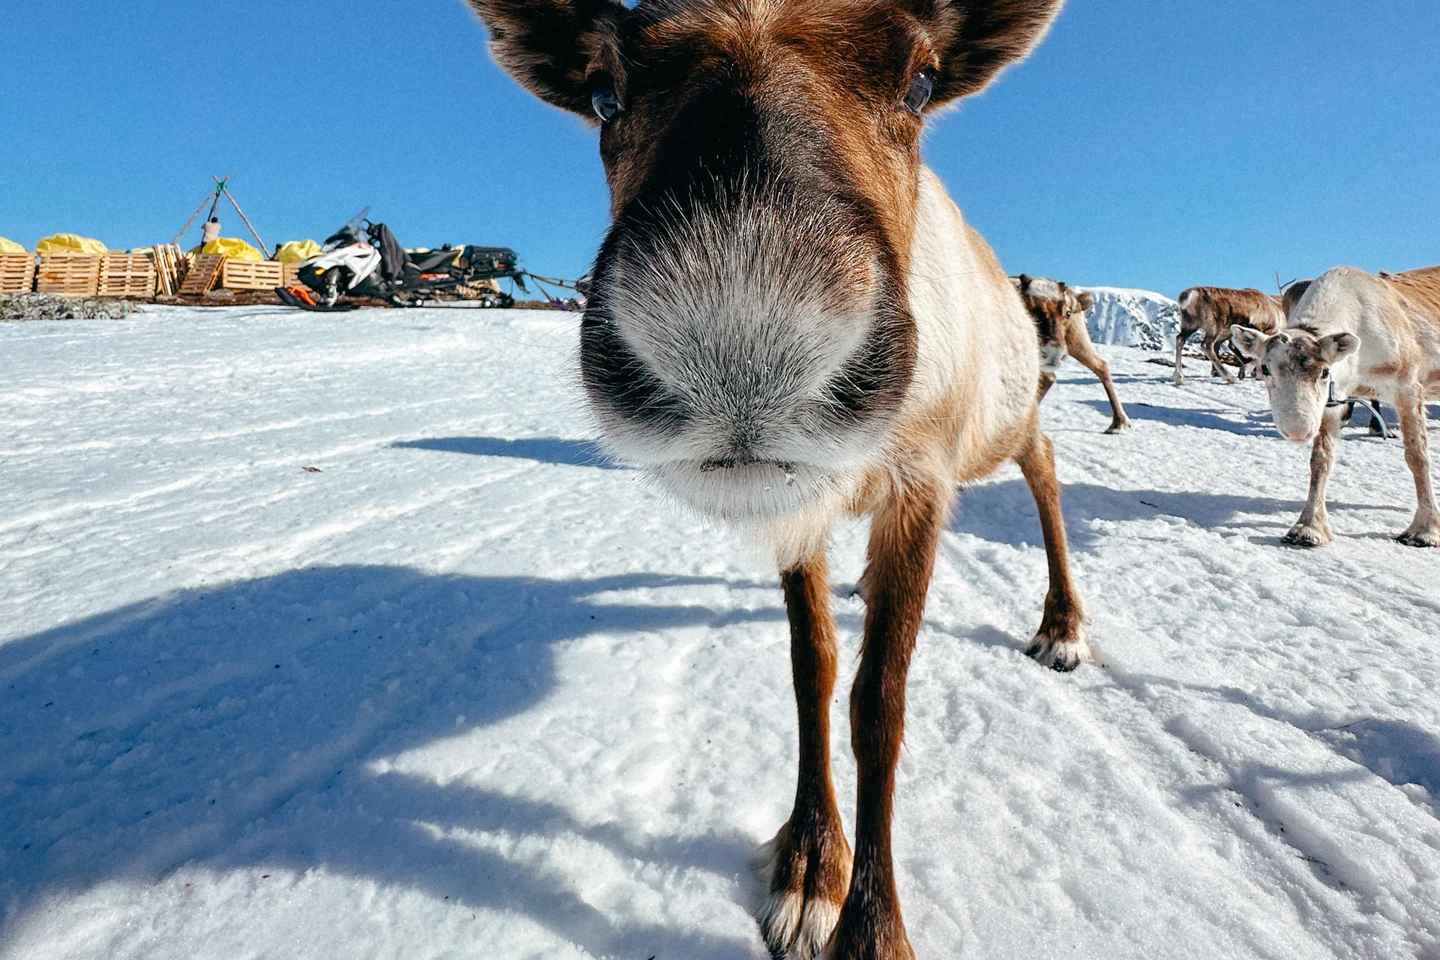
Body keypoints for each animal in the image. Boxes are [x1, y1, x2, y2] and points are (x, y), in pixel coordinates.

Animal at [467, 1, 1091, 957]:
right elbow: (815, 668)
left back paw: (1062, 625)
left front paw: (872, 927)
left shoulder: (922, 483)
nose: (742, 333)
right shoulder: (798, 508)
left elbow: (880, 705)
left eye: (921, 79)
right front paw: (807, 866)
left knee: (1046, 464)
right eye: (606, 91)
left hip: (1001, 421)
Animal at [1014, 274, 1132, 433]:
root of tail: (1075, 297)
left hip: (1075, 339)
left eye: (1067, 312)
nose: (1054, 353)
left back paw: (1119, 423)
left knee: (1100, 366)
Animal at [1232, 265, 1440, 548]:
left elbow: (1417, 456)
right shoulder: (1333, 402)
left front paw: (1425, 530)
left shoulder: (1408, 387)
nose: (1298, 430)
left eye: (1323, 372)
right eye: (1265, 369)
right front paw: (1308, 528)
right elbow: (1320, 460)